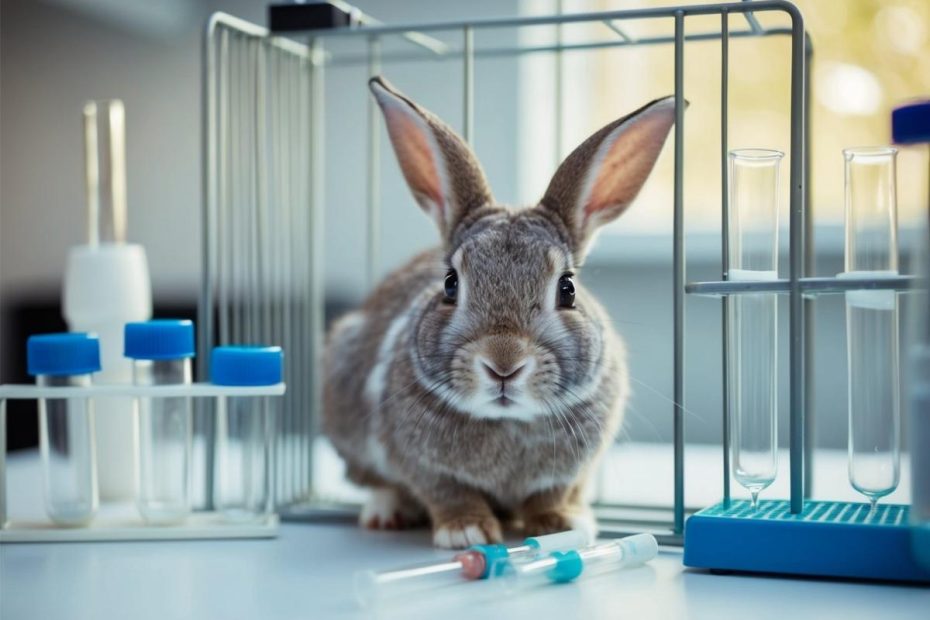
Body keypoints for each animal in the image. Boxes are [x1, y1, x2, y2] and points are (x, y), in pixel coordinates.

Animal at [322, 76, 676, 548]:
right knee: (376, 482)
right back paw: (386, 512)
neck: (507, 422)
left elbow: (551, 497)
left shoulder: (569, 473)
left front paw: (566, 525)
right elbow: (446, 492)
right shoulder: (422, 465)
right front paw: (467, 533)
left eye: (567, 289)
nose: (504, 365)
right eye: (450, 284)